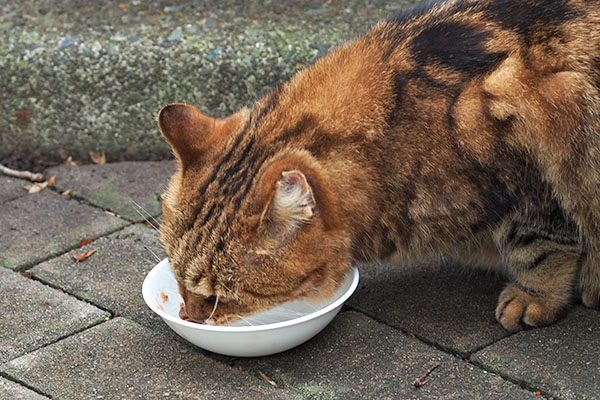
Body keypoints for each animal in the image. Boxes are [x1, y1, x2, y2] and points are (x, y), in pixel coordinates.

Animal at [158, 0, 600, 332]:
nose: (189, 315)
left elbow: (543, 246)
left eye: (218, 298)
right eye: (177, 279)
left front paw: (536, 296)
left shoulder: (533, 173)